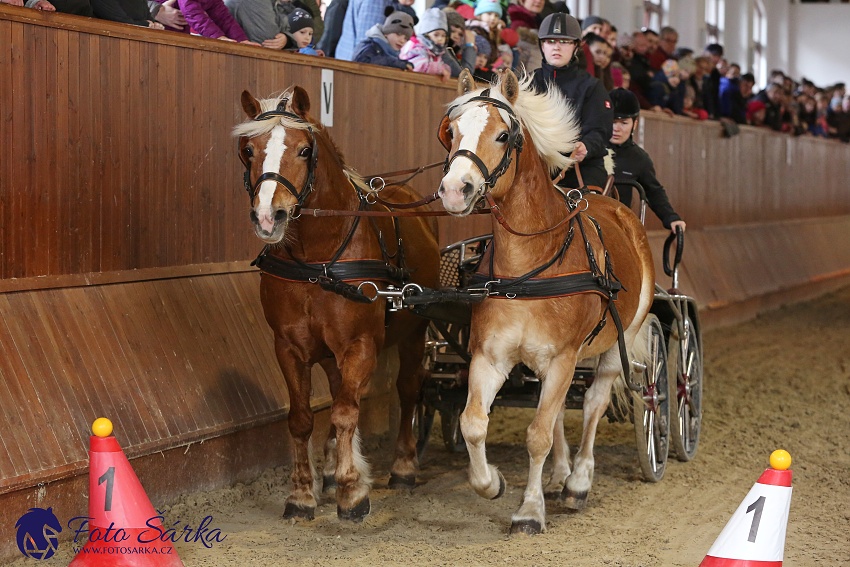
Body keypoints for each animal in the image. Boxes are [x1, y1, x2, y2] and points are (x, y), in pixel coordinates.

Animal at [235, 85, 440, 524]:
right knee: (336, 389)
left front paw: (352, 491)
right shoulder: (288, 347)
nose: (269, 216)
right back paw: (330, 469)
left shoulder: (360, 344)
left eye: (304, 150)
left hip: (414, 332)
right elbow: (302, 418)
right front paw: (302, 494)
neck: (318, 258)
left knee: (407, 388)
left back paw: (402, 467)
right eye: (248, 150)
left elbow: (347, 411)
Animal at [434, 70, 652, 532]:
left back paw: (579, 481)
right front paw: (492, 483)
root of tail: (612, 202)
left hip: (619, 340)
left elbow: (538, 434)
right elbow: (474, 423)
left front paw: (530, 511)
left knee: (592, 403)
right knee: (555, 413)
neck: (529, 269)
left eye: (502, 136)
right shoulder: (490, 357)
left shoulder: (564, 357)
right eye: (453, 132)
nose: (455, 190)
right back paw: (560, 474)